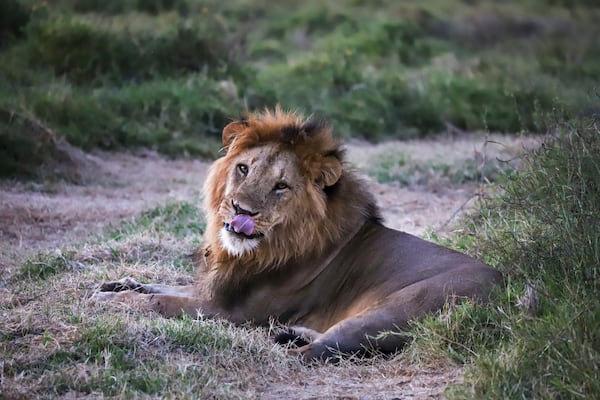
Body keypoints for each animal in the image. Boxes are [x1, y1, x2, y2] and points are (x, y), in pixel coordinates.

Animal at [96, 106, 504, 362]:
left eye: (281, 186)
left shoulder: (229, 311)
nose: (241, 211)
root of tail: (510, 295)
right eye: (243, 168)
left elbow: (159, 302)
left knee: (313, 356)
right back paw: (292, 332)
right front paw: (117, 285)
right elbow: (163, 286)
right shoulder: (213, 290)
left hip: (388, 313)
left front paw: (112, 302)